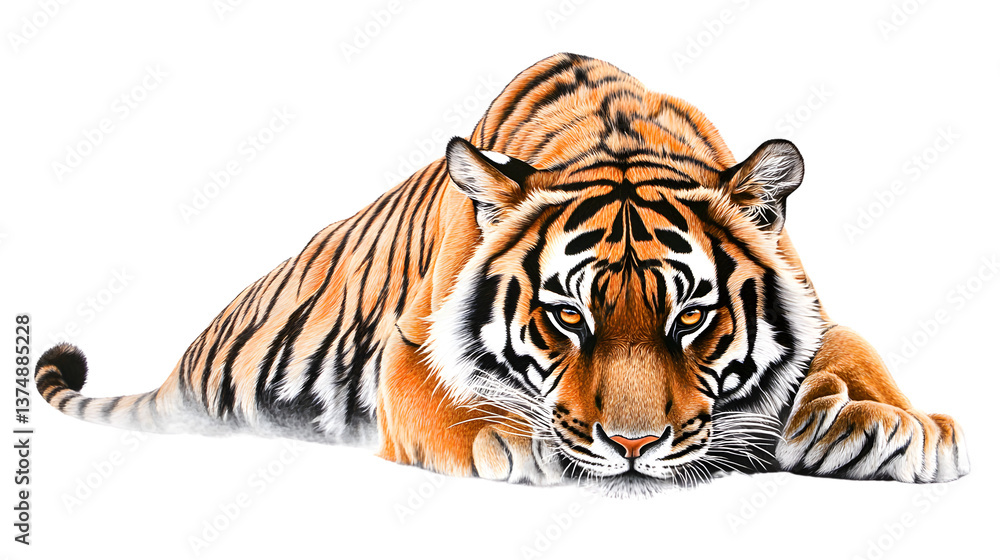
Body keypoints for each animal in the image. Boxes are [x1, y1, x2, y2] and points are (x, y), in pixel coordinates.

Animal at [36, 53, 969, 497]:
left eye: (691, 318)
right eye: (569, 317)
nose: (634, 449)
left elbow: (853, 345)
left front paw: (893, 425)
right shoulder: (408, 348)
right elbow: (444, 402)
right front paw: (509, 441)